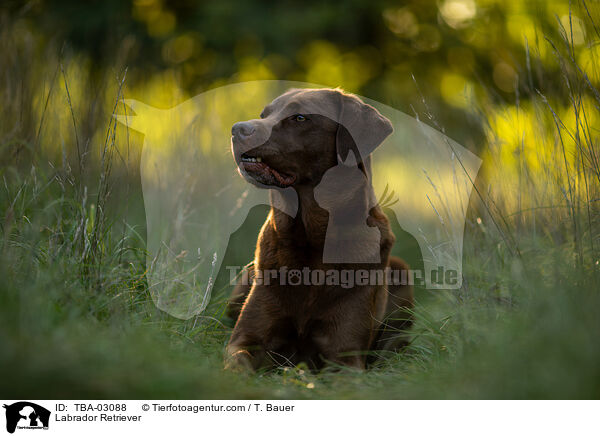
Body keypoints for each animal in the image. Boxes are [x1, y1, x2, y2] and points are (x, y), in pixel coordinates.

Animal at [225, 88, 412, 372]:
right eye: (264, 114)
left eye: (300, 117)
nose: (237, 129)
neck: (312, 238)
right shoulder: (245, 340)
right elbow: (238, 365)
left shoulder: (345, 354)